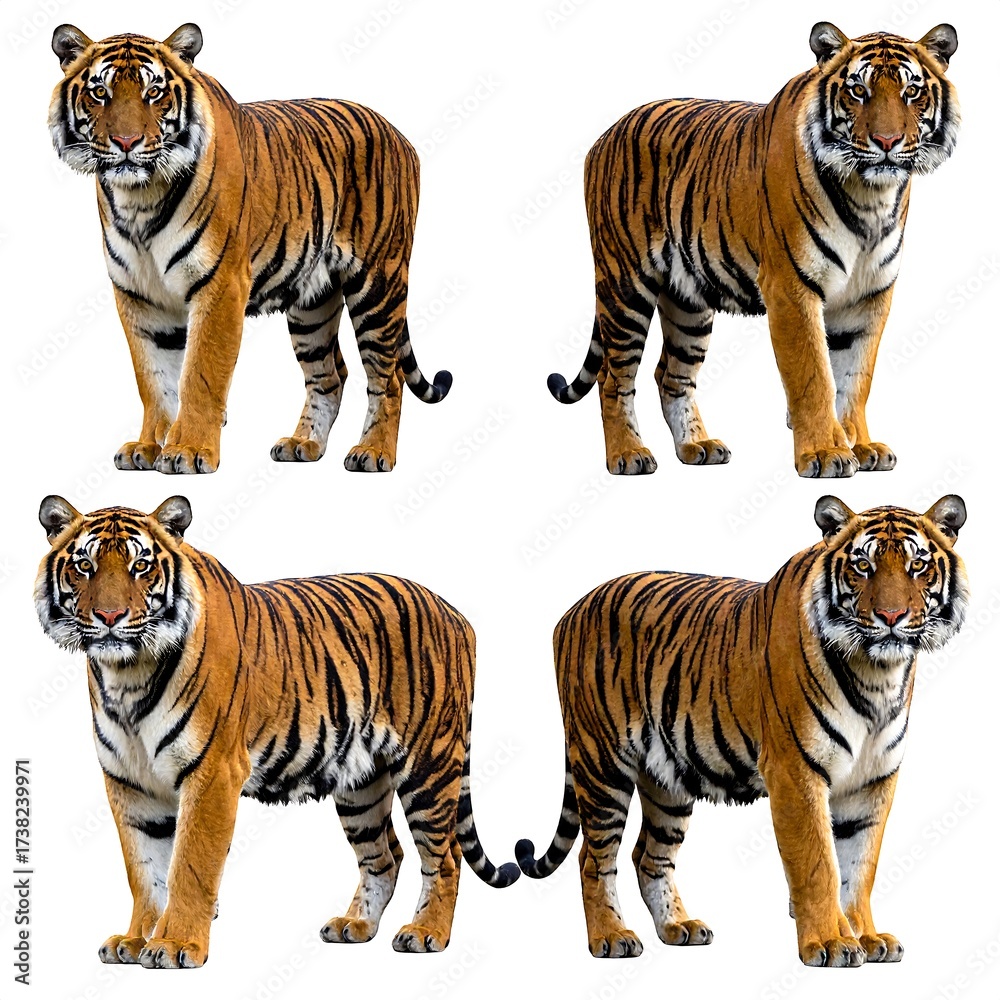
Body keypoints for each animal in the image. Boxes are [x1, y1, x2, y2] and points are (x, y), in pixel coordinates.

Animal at [34, 495, 518, 969]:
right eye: (84, 565)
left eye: (140, 566)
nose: (110, 616)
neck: (127, 674)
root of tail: (456, 614)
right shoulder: (129, 783)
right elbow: (144, 871)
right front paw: (135, 941)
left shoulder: (213, 773)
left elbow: (189, 866)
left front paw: (175, 944)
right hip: (360, 784)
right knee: (384, 856)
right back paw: (355, 925)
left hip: (429, 765)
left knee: (446, 855)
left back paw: (425, 933)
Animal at [48, 23, 451, 475]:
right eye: (100, 92)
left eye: (154, 92)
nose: (126, 141)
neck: (139, 198)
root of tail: (399, 134)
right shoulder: (138, 296)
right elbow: (153, 379)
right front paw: (148, 447)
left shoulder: (220, 285)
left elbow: (200, 374)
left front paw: (188, 451)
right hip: (312, 304)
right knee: (330, 375)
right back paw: (302, 444)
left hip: (378, 283)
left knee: (388, 375)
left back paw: (374, 452)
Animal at [516, 495, 968, 966]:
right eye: (863, 566)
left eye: (917, 566)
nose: (892, 616)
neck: (878, 674)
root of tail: (572, 610)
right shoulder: (795, 771)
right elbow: (818, 865)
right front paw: (829, 942)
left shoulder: (874, 780)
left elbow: (860, 868)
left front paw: (866, 936)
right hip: (601, 763)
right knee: (593, 857)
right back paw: (611, 936)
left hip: (668, 779)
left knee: (650, 856)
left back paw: (678, 927)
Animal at [548, 23, 960, 478]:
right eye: (858, 91)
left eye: (911, 92)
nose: (887, 141)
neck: (872, 197)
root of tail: (604, 135)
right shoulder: (791, 287)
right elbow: (813, 376)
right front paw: (825, 452)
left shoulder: (869, 295)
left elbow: (855, 378)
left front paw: (862, 445)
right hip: (625, 285)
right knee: (613, 377)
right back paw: (628, 454)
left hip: (688, 302)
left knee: (670, 375)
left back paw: (697, 446)